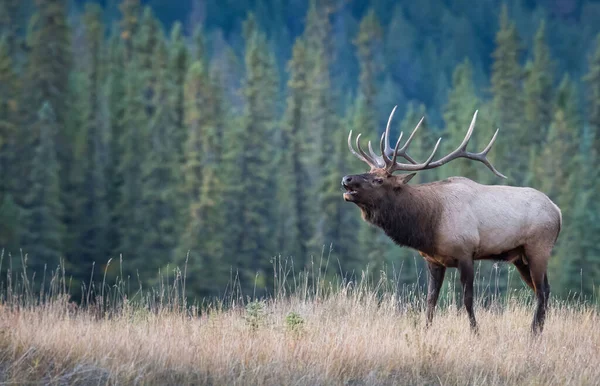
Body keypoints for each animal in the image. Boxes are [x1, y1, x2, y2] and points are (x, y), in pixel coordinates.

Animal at [342, 107, 564, 334]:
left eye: (378, 180)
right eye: (369, 172)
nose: (346, 179)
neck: (429, 223)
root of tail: (558, 211)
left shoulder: (466, 253)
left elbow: (467, 299)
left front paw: (475, 332)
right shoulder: (433, 260)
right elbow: (431, 300)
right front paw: (426, 330)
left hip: (538, 248)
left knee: (542, 291)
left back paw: (534, 333)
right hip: (520, 257)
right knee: (543, 290)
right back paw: (537, 331)